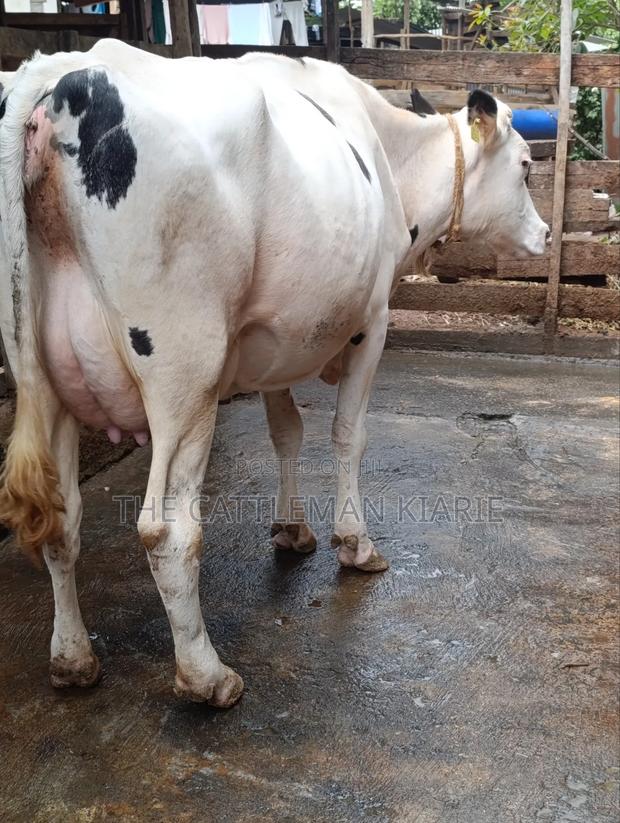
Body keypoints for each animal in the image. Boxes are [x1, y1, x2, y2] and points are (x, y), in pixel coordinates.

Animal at [0, 41, 549, 707]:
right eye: (526, 166)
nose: (547, 233)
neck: (389, 157)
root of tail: (53, 73)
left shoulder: (278, 339)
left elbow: (287, 432)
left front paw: (292, 529)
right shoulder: (373, 321)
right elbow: (348, 436)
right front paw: (354, 543)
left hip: (42, 372)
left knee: (61, 519)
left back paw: (73, 659)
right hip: (185, 372)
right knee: (167, 531)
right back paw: (206, 674)